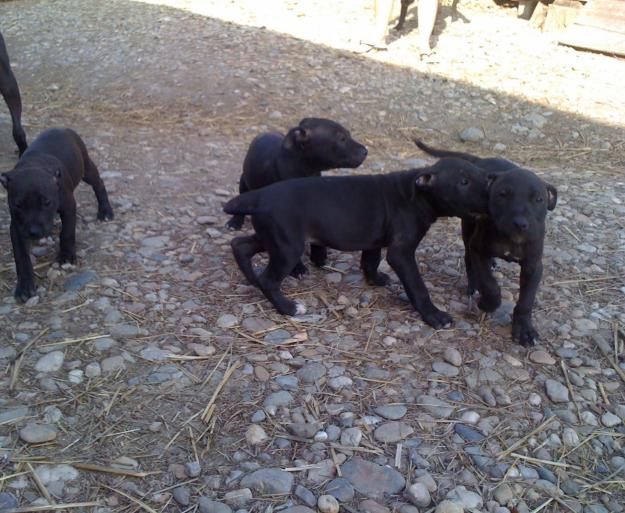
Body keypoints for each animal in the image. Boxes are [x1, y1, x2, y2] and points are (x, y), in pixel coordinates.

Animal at [0, 128, 113, 302]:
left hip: (86, 168)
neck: (34, 164)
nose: (34, 232)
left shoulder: (68, 207)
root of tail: (61, 128)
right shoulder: (17, 227)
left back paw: (105, 210)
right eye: (18, 205)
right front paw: (25, 286)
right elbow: (21, 257)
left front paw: (66, 256)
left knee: (98, 184)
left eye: (46, 202)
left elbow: (67, 233)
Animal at [223, 156, 488, 330]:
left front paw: (375, 279)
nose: (490, 188)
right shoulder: (401, 252)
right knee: (269, 278)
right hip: (287, 246)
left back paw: (252, 279)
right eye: (463, 182)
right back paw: (288, 307)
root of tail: (260, 196)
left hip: (272, 238)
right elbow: (417, 287)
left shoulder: (374, 239)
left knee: (240, 246)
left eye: (480, 177)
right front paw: (434, 316)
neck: (417, 194)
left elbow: (370, 261)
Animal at [227, 117, 368, 274]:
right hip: (244, 183)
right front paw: (298, 268)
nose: (365, 151)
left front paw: (319, 257)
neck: (306, 170)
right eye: (342, 138)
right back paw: (234, 223)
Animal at [414, 140, 556, 344]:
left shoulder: (533, 265)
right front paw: (488, 303)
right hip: (468, 229)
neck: (510, 239)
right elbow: (489, 284)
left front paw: (525, 329)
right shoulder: (477, 249)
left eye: (539, 199)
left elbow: (526, 299)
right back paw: (474, 287)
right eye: (502, 194)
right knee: (468, 261)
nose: (520, 223)